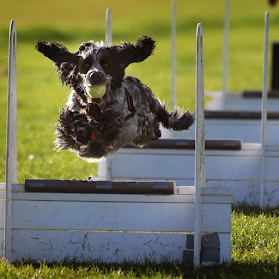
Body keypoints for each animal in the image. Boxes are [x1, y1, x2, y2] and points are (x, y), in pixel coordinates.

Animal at [35, 36, 195, 162]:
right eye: (86, 65)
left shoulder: (118, 127)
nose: (95, 75)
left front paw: (94, 115)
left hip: (143, 128)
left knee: (153, 126)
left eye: (106, 64)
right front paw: (81, 128)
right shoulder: (69, 119)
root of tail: (145, 90)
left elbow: (107, 124)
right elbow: (70, 119)